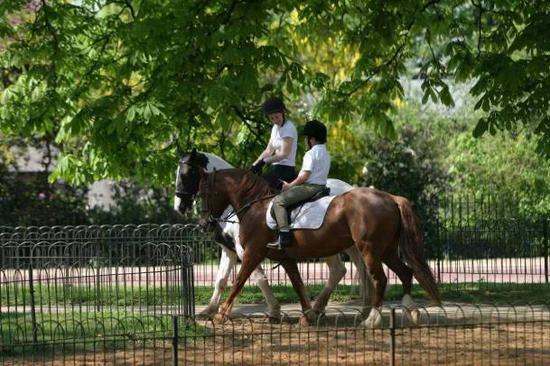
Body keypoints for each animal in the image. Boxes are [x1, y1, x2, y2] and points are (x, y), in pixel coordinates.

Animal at [179, 150, 442, 328]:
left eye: (191, 178)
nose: (203, 223)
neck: (256, 205)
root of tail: (390, 197)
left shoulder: (251, 252)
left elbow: (243, 280)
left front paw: (223, 314)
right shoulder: (274, 256)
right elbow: (294, 282)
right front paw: (307, 315)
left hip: (368, 250)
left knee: (376, 277)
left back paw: (371, 318)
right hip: (383, 250)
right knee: (404, 273)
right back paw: (408, 311)